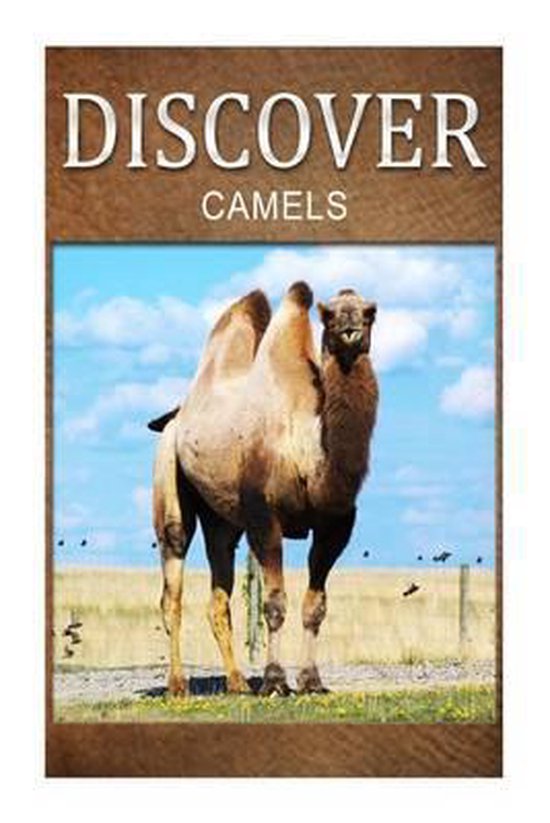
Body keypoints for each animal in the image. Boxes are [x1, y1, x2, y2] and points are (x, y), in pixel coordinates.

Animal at [148, 281, 378, 696]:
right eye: (328, 314)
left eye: (370, 312)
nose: (351, 332)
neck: (305, 451)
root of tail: (175, 417)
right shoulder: (263, 516)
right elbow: (274, 603)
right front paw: (274, 681)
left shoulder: (336, 524)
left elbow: (315, 605)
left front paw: (311, 681)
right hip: (169, 472)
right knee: (171, 576)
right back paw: (177, 685)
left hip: (221, 519)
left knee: (218, 585)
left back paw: (238, 682)